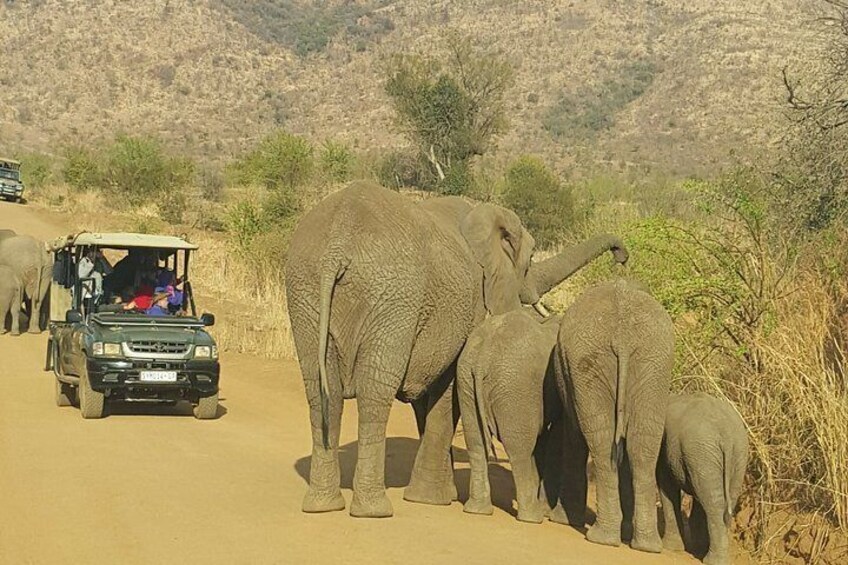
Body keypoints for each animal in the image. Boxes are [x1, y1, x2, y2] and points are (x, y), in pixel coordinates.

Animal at [457, 308, 563, 523]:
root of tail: (484, 353)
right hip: (516, 387)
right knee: (519, 450)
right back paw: (532, 517)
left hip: (466, 379)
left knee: (476, 443)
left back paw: (477, 510)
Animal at [554, 278, 674, 552]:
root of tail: (623, 335)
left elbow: (575, 438)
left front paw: (564, 520)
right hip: (649, 364)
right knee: (641, 443)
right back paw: (645, 545)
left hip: (599, 363)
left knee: (601, 439)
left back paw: (603, 538)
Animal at [657, 392, 749, 565]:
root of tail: (726, 434)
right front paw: (696, 547)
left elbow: (667, 487)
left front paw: (671, 548)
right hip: (732, 455)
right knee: (723, 498)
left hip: (705, 452)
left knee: (713, 501)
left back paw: (711, 560)